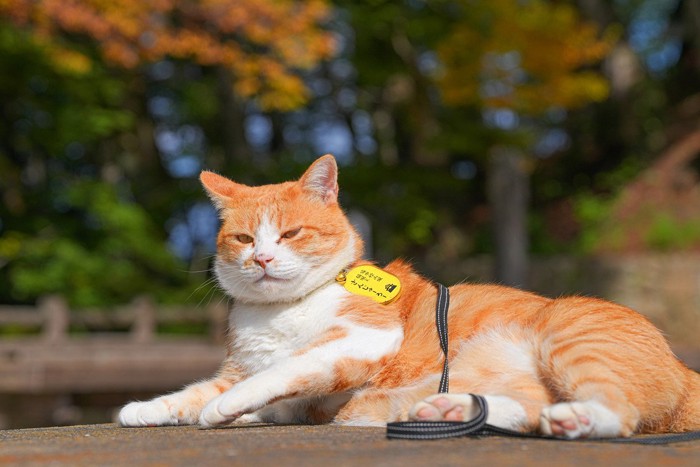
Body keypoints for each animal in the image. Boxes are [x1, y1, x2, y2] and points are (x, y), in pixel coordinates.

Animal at [119, 155, 700, 440]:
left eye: (289, 234)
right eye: (243, 238)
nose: (260, 259)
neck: (280, 313)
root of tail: (682, 366)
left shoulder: (361, 340)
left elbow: (280, 372)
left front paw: (225, 408)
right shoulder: (269, 385)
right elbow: (195, 393)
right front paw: (147, 409)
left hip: (573, 341)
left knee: (616, 415)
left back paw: (576, 422)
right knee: (532, 409)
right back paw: (452, 408)